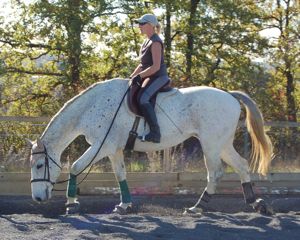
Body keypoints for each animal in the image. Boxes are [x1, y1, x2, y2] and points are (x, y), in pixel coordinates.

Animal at [29, 79, 274, 215]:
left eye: (40, 165)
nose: (38, 198)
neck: (93, 106)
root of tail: (229, 95)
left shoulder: (102, 146)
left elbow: (76, 167)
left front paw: (72, 204)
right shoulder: (114, 149)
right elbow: (120, 175)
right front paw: (124, 206)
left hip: (211, 144)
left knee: (215, 173)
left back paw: (198, 207)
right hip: (221, 144)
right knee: (241, 166)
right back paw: (256, 203)